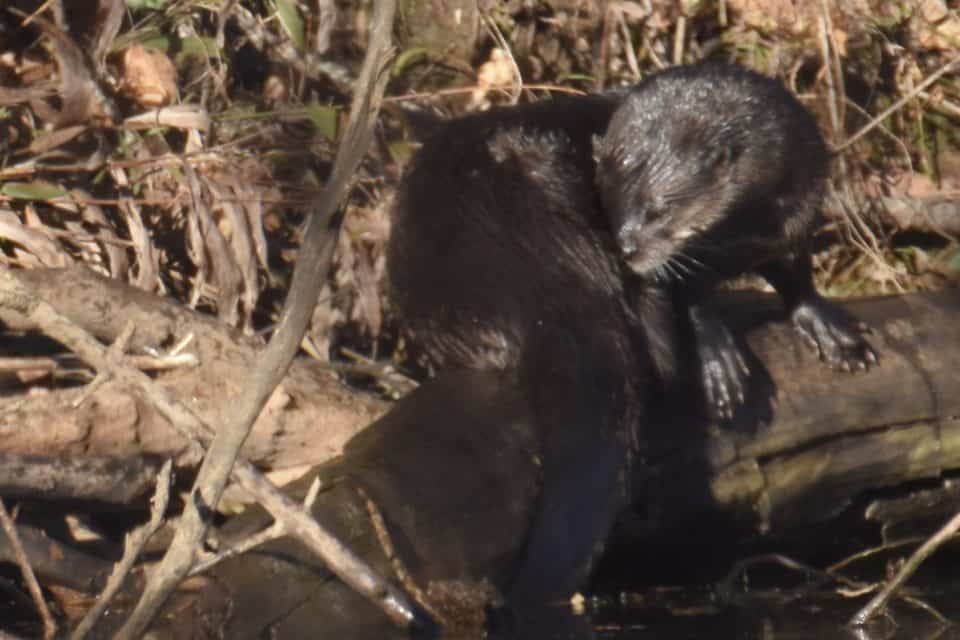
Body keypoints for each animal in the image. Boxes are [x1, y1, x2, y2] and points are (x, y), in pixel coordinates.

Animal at [596, 62, 880, 418]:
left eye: (657, 211)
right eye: (608, 206)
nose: (626, 249)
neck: (744, 233)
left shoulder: (798, 213)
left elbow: (797, 274)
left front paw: (830, 331)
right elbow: (693, 298)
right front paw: (717, 359)